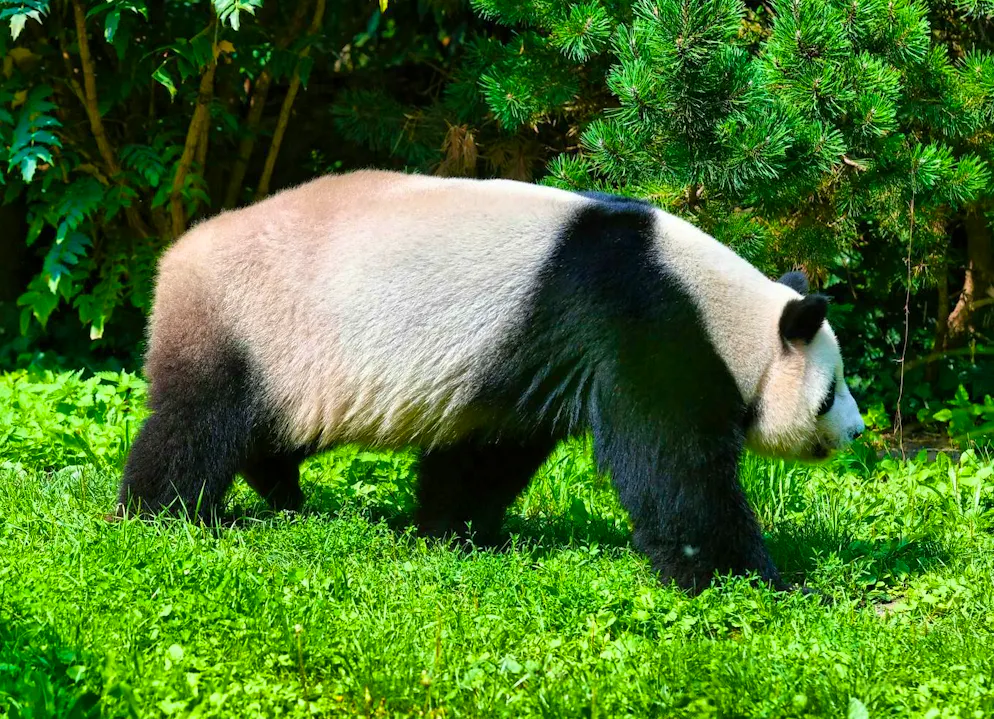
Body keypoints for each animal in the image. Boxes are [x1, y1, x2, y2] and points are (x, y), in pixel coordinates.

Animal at [117, 170, 864, 594]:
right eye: (830, 393)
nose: (856, 431)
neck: (725, 309)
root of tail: (175, 256)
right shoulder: (641, 321)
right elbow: (673, 466)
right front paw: (760, 582)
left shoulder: (525, 358)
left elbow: (490, 448)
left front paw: (456, 531)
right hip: (253, 321)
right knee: (198, 422)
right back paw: (162, 514)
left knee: (272, 430)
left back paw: (282, 492)